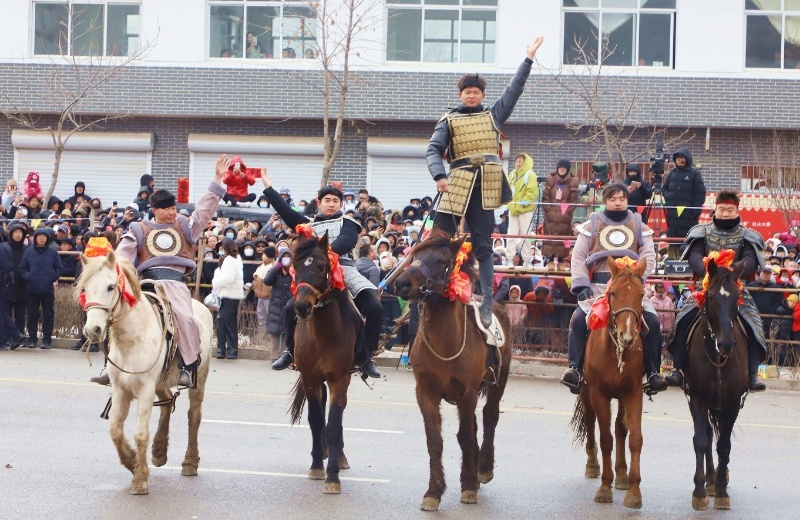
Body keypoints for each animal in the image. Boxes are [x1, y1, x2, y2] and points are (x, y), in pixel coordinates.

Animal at [78, 252, 214, 496]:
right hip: (161, 381)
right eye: (85, 288)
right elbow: (115, 430)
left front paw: (140, 479)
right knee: (168, 403)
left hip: (199, 378)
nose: (93, 330)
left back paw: (190, 462)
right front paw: (131, 462)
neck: (132, 338)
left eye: (110, 286)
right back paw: (159, 452)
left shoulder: (145, 389)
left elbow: (140, 433)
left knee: (194, 416)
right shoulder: (120, 389)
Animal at [288, 234, 362, 494]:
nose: (302, 306)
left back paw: (339, 456)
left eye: (321, 266)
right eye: (296, 266)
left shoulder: (340, 378)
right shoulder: (310, 377)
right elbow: (316, 420)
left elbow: (333, 423)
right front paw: (317, 466)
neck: (322, 334)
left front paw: (332, 477)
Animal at [394, 232, 512, 512]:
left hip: (499, 380)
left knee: (489, 417)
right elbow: (435, 440)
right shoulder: (425, 391)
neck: (444, 340)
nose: (402, 283)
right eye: (414, 256)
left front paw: (468, 485)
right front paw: (433, 491)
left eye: (440, 260)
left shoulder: (467, 391)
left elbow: (465, 436)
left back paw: (483, 469)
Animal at [568, 258, 648, 510]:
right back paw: (593, 465)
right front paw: (604, 487)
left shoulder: (633, 392)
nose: (627, 336)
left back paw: (621, 475)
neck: (616, 351)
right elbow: (605, 439)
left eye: (641, 294)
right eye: (613, 293)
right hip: (585, 392)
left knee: (620, 429)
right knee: (590, 421)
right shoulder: (598, 393)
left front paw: (633, 490)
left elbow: (634, 438)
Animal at [680, 258, 752, 510]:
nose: (726, 344)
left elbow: (724, 445)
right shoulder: (697, 400)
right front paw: (700, 491)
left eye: (736, 297)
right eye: (710, 297)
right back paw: (709, 479)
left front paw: (721, 492)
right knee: (709, 434)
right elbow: (702, 440)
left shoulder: (732, 403)